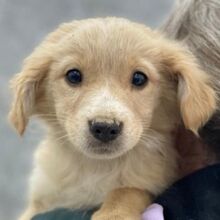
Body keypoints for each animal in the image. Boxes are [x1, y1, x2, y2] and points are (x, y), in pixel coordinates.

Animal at [9, 17, 216, 220]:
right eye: (73, 75)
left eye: (139, 78)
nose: (105, 128)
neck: (97, 168)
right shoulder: (42, 199)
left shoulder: (151, 179)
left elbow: (128, 190)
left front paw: (114, 213)